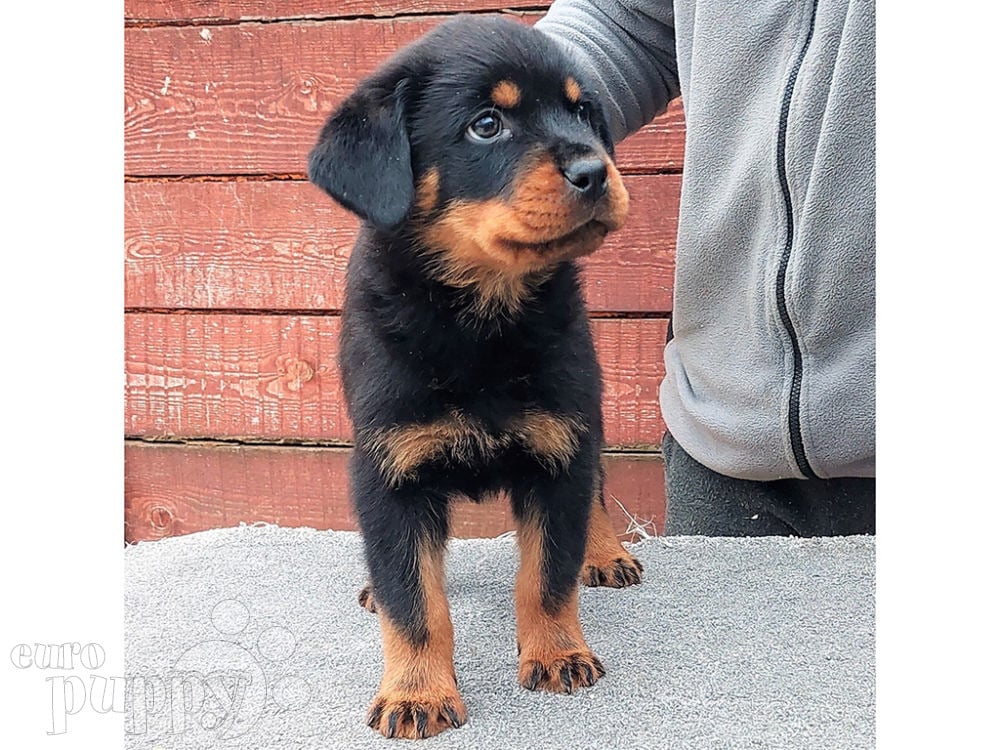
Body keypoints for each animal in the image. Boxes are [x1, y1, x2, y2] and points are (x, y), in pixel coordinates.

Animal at [308, 14, 644, 744]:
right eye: (486, 125)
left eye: (583, 111)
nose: (596, 170)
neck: (480, 317)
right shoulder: (389, 470)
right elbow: (413, 600)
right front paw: (415, 692)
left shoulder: (561, 447)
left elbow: (548, 573)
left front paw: (558, 653)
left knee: (597, 493)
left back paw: (604, 553)